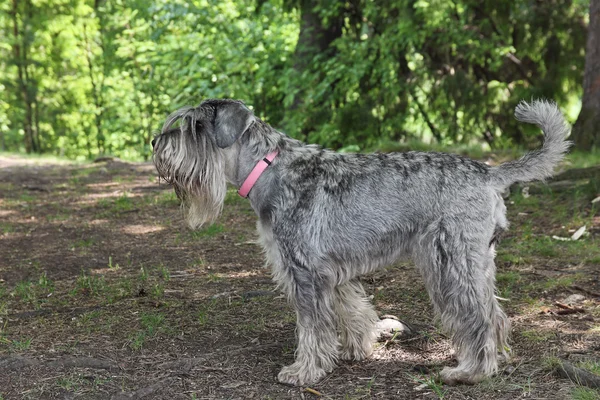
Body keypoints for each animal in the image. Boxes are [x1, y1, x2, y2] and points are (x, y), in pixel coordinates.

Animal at [152, 98, 568, 386]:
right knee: (493, 312)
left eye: (195, 126)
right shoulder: (330, 271)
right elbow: (350, 309)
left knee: (479, 316)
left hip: (450, 262)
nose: (155, 141)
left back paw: (470, 371)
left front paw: (303, 371)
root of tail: (489, 172)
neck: (268, 167)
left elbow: (311, 326)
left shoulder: (304, 272)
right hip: (475, 262)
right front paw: (354, 349)